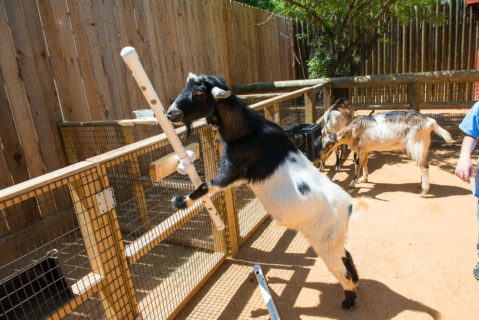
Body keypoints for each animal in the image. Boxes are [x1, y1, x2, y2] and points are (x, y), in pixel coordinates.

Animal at [167, 73, 370, 310]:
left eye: (199, 92)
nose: (171, 112)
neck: (248, 131)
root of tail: (348, 207)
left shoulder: (232, 172)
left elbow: (205, 186)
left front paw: (180, 201)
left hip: (325, 242)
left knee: (341, 268)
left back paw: (349, 300)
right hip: (335, 237)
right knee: (347, 256)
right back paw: (356, 283)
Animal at [318, 110, 454, 198]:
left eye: (330, 144)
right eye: (322, 142)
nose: (320, 155)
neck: (353, 132)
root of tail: (430, 121)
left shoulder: (361, 149)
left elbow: (358, 163)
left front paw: (353, 183)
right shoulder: (366, 149)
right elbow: (365, 162)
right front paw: (364, 178)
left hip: (416, 145)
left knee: (424, 166)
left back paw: (424, 192)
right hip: (423, 145)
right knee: (423, 166)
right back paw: (422, 184)